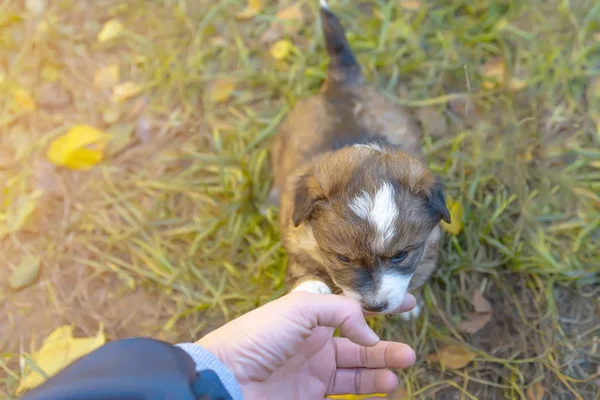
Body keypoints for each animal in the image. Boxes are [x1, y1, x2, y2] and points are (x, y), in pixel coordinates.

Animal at [270, 0, 450, 318]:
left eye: (400, 255)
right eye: (343, 258)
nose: (374, 307)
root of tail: (341, 83)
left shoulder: (430, 245)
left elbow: (419, 273)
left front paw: (410, 305)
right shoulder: (297, 236)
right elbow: (301, 265)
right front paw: (311, 287)